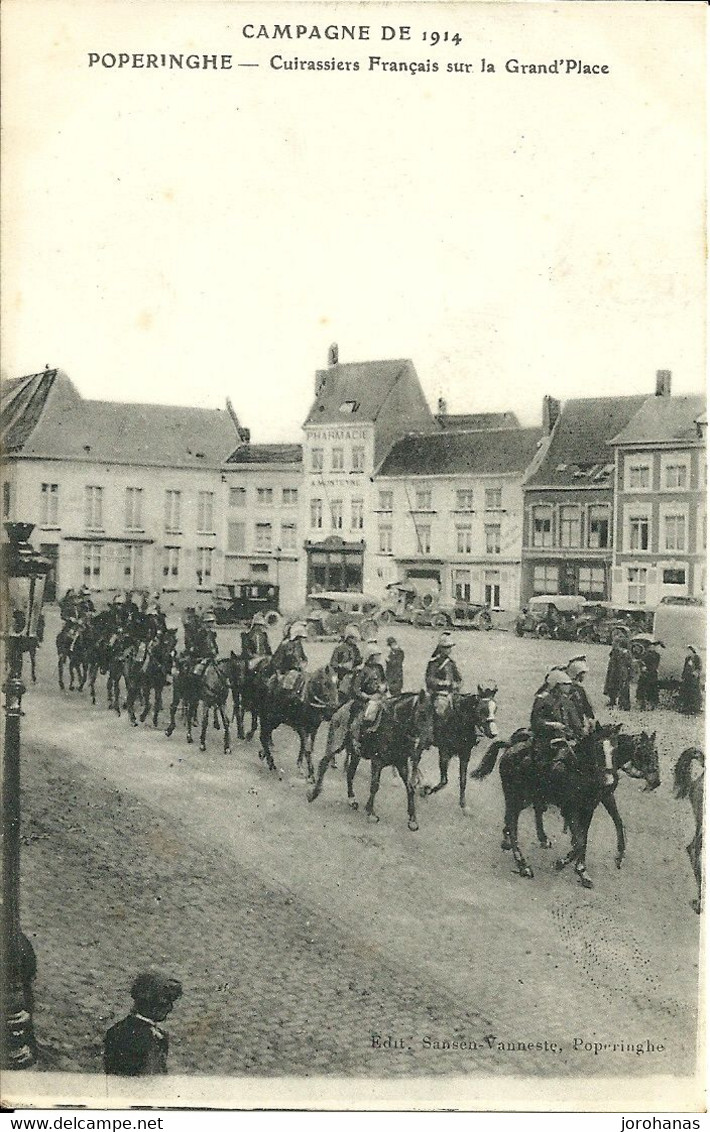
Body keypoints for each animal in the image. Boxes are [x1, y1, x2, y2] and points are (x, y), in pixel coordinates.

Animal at [310, 683, 432, 828]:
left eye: (435, 716)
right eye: (422, 713)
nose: (428, 741)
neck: (395, 726)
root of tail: (341, 709)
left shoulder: (401, 763)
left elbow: (410, 787)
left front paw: (412, 819)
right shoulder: (377, 761)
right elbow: (374, 786)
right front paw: (371, 813)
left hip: (355, 754)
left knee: (350, 773)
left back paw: (352, 799)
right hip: (336, 744)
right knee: (323, 763)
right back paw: (313, 793)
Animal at [473, 719, 643, 887]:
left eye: (616, 749)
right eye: (597, 748)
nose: (609, 781)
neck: (578, 771)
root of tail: (510, 747)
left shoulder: (588, 809)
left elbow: (584, 838)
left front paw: (582, 870)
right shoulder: (570, 810)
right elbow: (579, 841)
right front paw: (563, 863)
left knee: (523, 815)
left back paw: (525, 841)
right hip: (516, 797)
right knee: (513, 822)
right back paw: (522, 865)